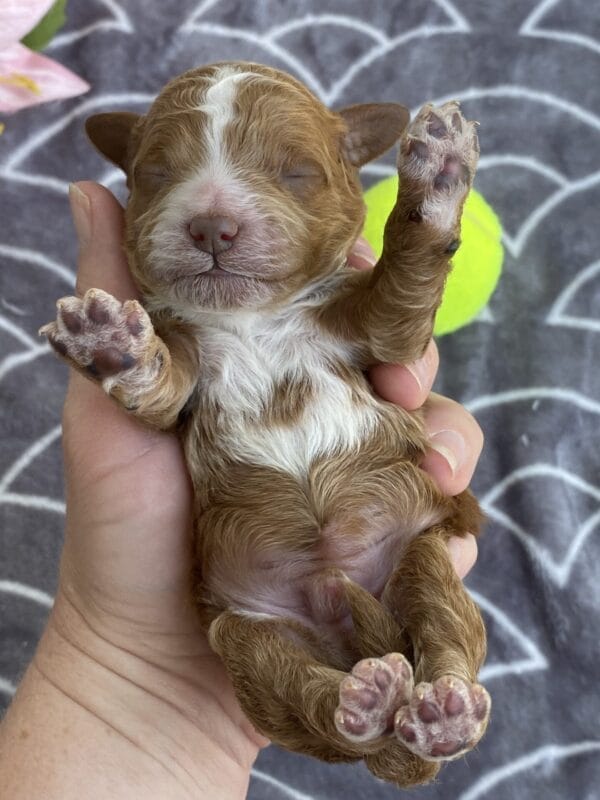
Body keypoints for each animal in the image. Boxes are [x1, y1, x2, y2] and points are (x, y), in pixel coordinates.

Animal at [39, 62, 490, 788]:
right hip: (244, 631)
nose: (212, 225)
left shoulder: (373, 332)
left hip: (419, 553)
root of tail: (337, 616)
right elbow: (156, 384)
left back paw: (441, 712)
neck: (250, 318)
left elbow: (402, 296)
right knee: (306, 699)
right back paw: (368, 702)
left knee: (447, 630)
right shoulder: (184, 369)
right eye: (156, 174)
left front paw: (440, 172)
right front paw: (110, 346)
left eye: (296, 172)